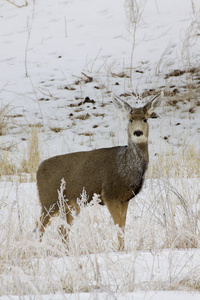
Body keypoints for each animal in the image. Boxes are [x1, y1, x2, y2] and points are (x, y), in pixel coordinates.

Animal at [36, 93, 162, 251]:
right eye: (130, 119)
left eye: (145, 119)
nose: (138, 132)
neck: (126, 166)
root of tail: (38, 170)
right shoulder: (109, 194)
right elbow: (118, 226)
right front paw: (120, 250)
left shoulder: (124, 199)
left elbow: (123, 226)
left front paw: (122, 248)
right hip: (49, 200)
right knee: (40, 226)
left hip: (67, 205)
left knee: (62, 229)